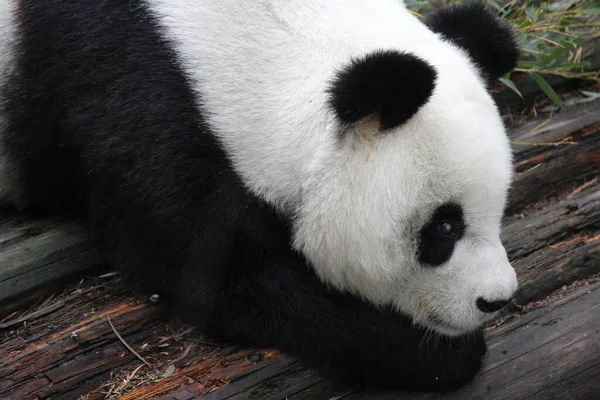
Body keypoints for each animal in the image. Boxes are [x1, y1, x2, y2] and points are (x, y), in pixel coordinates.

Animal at [0, 0, 516, 394]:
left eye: (499, 208)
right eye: (444, 228)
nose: (497, 299)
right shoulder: (137, 91)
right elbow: (215, 277)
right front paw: (437, 354)